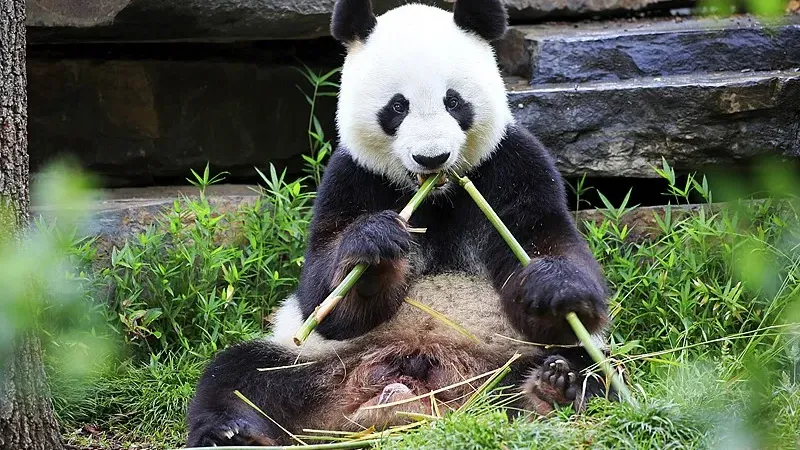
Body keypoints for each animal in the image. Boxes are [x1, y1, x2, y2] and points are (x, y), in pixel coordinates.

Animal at [185, 0, 617, 446]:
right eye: (397, 106)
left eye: (453, 102)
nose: (432, 158)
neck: (436, 194)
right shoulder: (350, 177)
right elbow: (322, 294)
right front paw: (374, 248)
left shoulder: (515, 165)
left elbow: (546, 245)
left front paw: (553, 287)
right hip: (316, 363)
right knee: (240, 374)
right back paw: (230, 432)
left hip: (503, 361)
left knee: (586, 366)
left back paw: (553, 390)